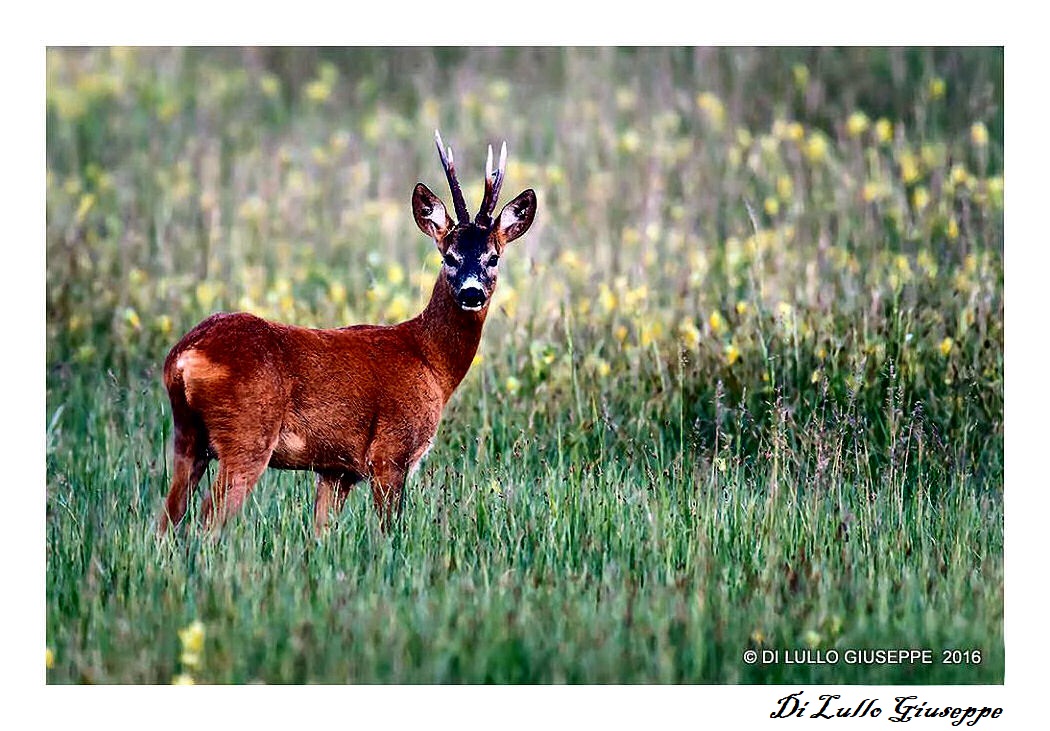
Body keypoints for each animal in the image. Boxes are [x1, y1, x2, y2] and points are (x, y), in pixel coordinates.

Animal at [159, 131, 537, 533]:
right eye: (448, 256)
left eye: (493, 257)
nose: (471, 292)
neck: (430, 360)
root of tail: (185, 355)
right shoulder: (390, 451)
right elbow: (389, 531)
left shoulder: (337, 470)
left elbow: (320, 531)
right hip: (247, 436)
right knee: (207, 521)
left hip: (188, 438)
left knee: (166, 520)